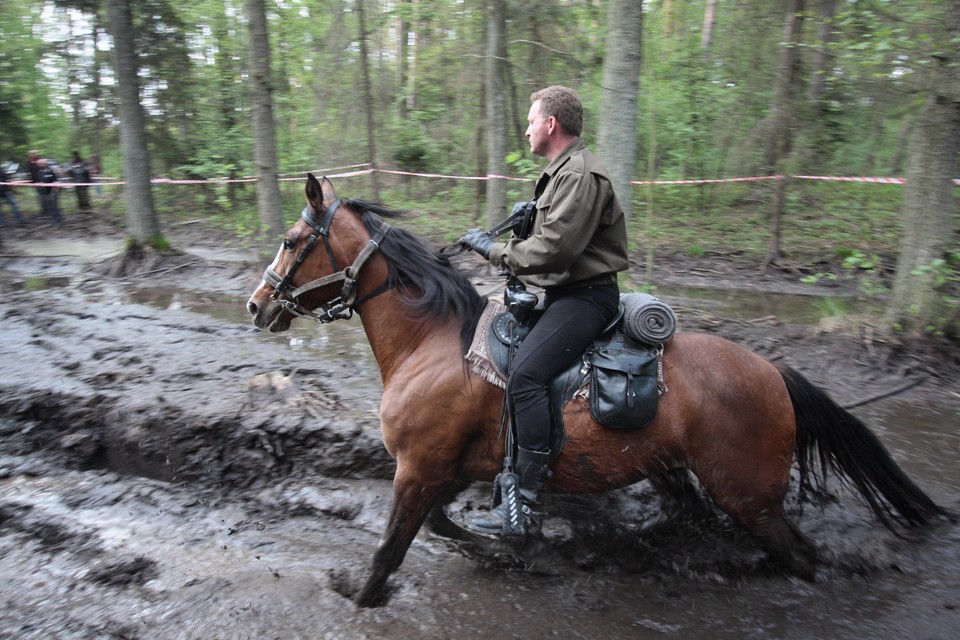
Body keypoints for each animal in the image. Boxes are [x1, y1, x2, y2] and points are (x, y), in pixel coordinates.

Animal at [246, 174, 944, 604]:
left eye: (290, 241)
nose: (257, 306)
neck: (431, 344)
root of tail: (775, 374)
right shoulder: (442, 469)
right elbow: (445, 527)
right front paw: (516, 550)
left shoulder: (417, 468)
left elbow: (390, 551)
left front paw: (362, 598)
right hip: (677, 471)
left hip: (749, 495)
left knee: (798, 556)